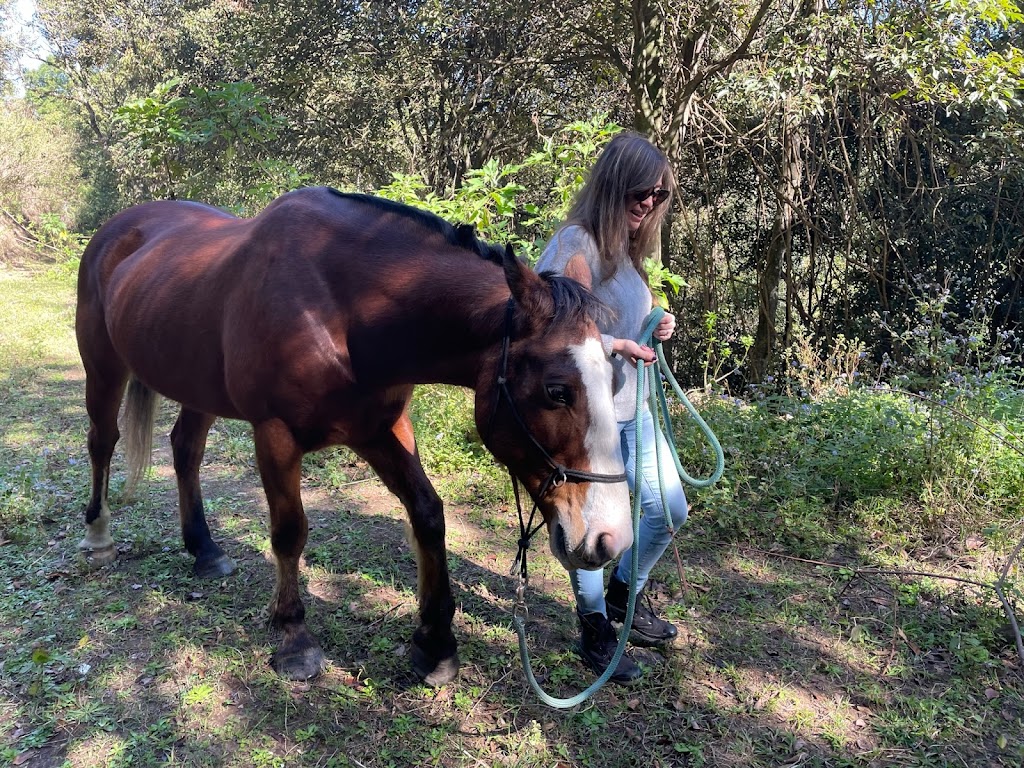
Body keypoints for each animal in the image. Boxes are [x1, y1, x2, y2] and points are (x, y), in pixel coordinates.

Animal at [74, 186, 630, 684]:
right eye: (557, 391)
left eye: (616, 380)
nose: (611, 539)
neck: (339, 309)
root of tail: (120, 229)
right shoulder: (275, 435)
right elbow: (289, 532)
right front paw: (294, 639)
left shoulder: (382, 429)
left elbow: (428, 515)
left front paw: (435, 644)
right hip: (103, 368)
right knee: (103, 442)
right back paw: (98, 536)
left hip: (198, 388)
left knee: (185, 450)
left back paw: (205, 550)